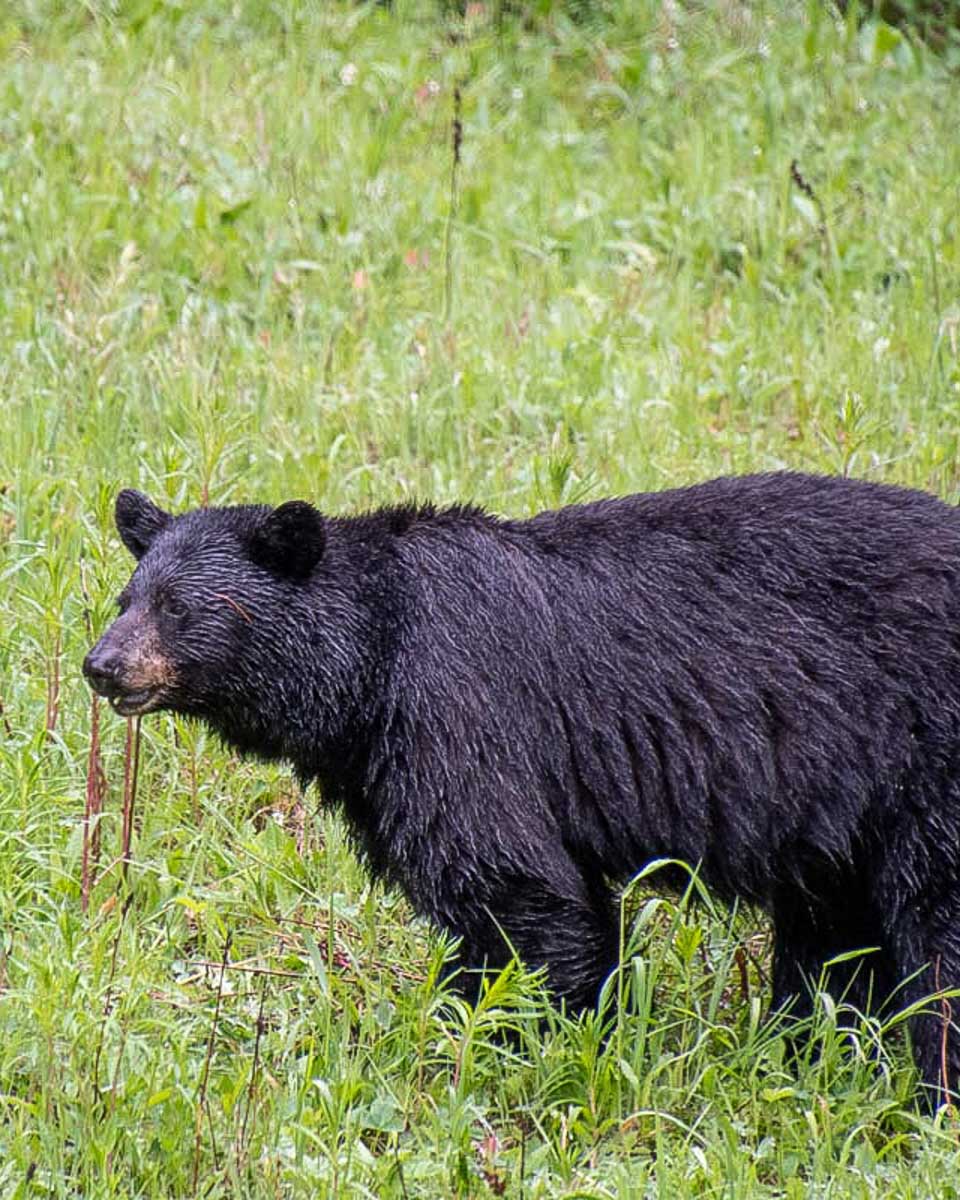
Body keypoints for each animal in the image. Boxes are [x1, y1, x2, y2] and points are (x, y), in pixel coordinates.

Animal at [83, 472, 960, 1104]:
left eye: (179, 607)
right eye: (127, 597)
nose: (102, 665)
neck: (370, 661)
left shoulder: (459, 714)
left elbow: (517, 894)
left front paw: (517, 1054)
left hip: (926, 754)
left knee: (935, 930)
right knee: (835, 934)